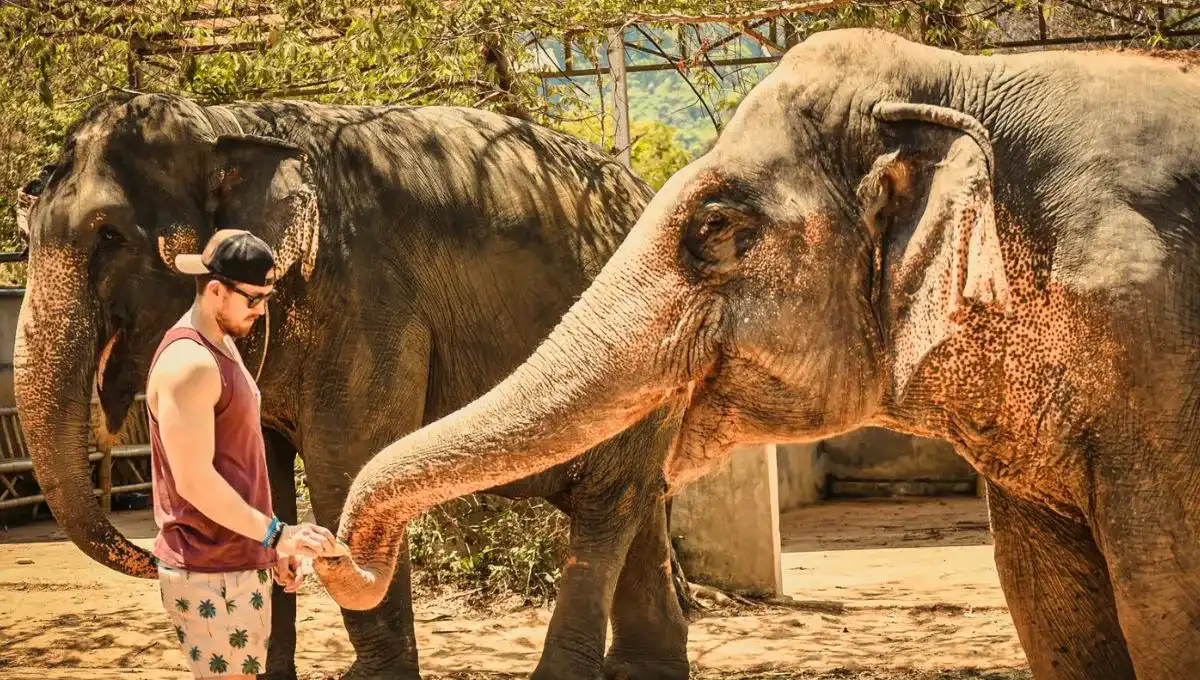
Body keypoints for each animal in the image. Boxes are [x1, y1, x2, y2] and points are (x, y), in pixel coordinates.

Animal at [11, 91, 696, 680]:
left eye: (110, 235)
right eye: (25, 231)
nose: (148, 556)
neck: (228, 123)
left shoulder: (367, 299)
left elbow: (346, 465)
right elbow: (260, 470)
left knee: (608, 504)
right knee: (636, 504)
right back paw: (644, 672)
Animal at [314, 27, 1200, 680]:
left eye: (714, 229)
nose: (324, 552)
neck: (964, 79)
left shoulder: (1150, 349)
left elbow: (1161, 595)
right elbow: (1050, 602)